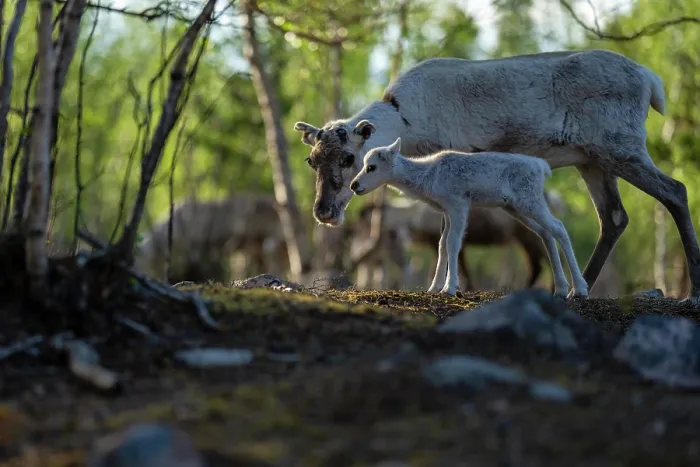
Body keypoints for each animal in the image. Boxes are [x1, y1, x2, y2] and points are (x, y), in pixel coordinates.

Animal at [293, 50, 700, 305]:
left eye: (349, 157)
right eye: (312, 160)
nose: (324, 212)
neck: (405, 120)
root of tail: (650, 79)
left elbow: (449, 240)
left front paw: (447, 288)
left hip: (621, 147)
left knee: (676, 191)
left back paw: (691, 291)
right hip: (592, 161)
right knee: (614, 218)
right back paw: (578, 287)